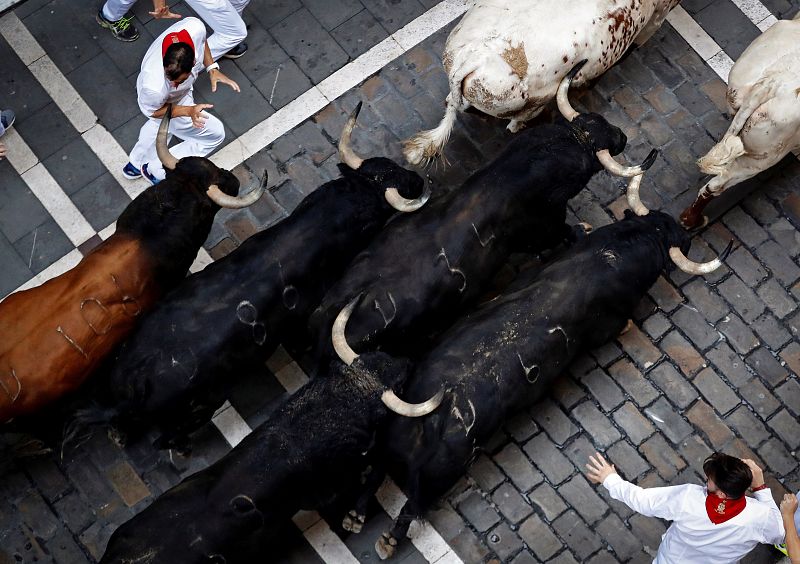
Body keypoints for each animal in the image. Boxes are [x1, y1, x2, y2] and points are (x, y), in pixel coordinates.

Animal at [308, 110, 648, 366]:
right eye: (593, 155)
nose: (622, 136)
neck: (507, 178)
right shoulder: (542, 228)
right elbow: (560, 232)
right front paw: (581, 230)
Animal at [350, 213, 724, 560]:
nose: (684, 232)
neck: (610, 253)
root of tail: (432, 412)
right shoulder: (610, 323)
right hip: (441, 475)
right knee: (412, 505)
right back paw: (387, 541)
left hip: (391, 441)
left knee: (377, 472)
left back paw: (355, 517)